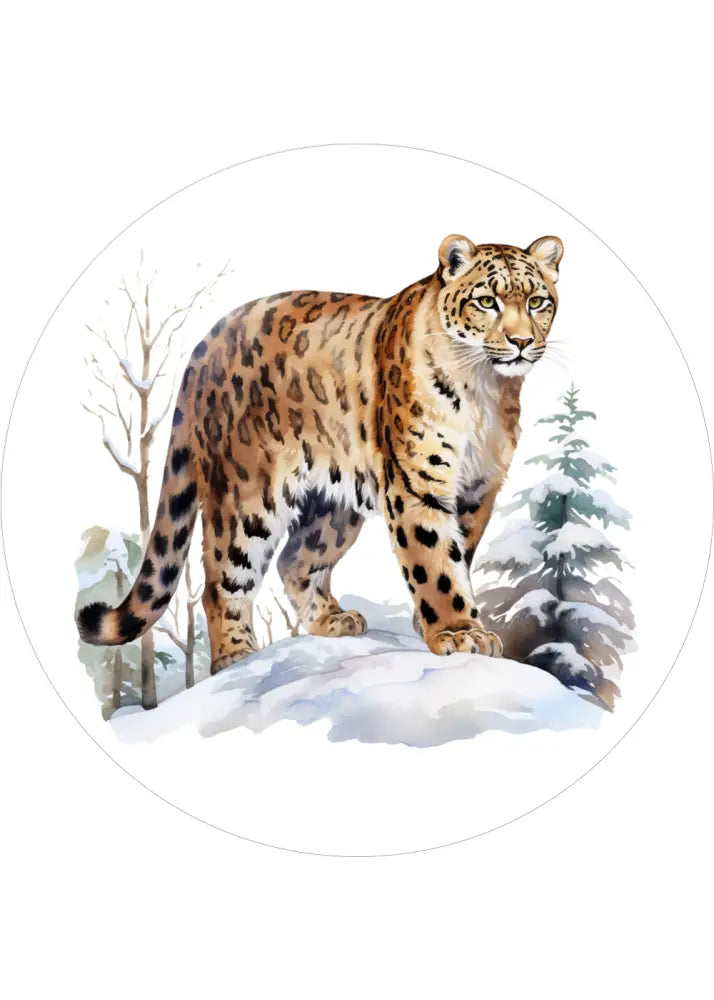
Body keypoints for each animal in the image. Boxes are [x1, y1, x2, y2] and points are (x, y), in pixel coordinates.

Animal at [77, 233, 564, 672]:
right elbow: (435, 560)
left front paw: (443, 622)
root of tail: (209, 340)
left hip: (333, 504)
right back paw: (236, 656)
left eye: (538, 302)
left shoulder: (478, 489)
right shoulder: (417, 483)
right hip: (245, 496)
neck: (485, 389)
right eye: (487, 301)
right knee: (223, 579)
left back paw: (333, 620)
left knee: (295, 559)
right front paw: (458, 632)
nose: (522, 342)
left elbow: (458, 554)